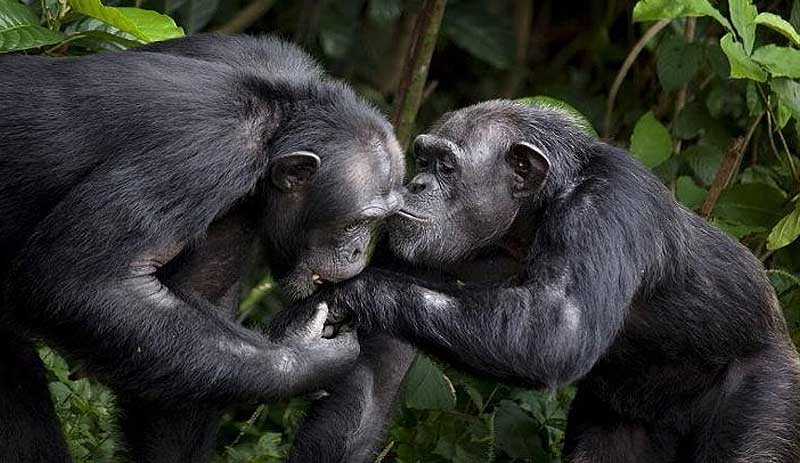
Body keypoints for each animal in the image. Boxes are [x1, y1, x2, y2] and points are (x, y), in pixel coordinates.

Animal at [1, 35, 406, 463]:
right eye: (355, 223)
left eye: (380, 222)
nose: (358, 251)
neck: (280, 117)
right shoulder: (205, 153)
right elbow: (80, 283)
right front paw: (307, 357)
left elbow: (193, 299)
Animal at [290, 99, 800, 462]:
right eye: (423, 159)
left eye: (446, 167)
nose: (415, 185)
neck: (529, 219)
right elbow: (375, 379)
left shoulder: (612, 202)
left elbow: (558, 329)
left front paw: (355, 293)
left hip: (771, 392)